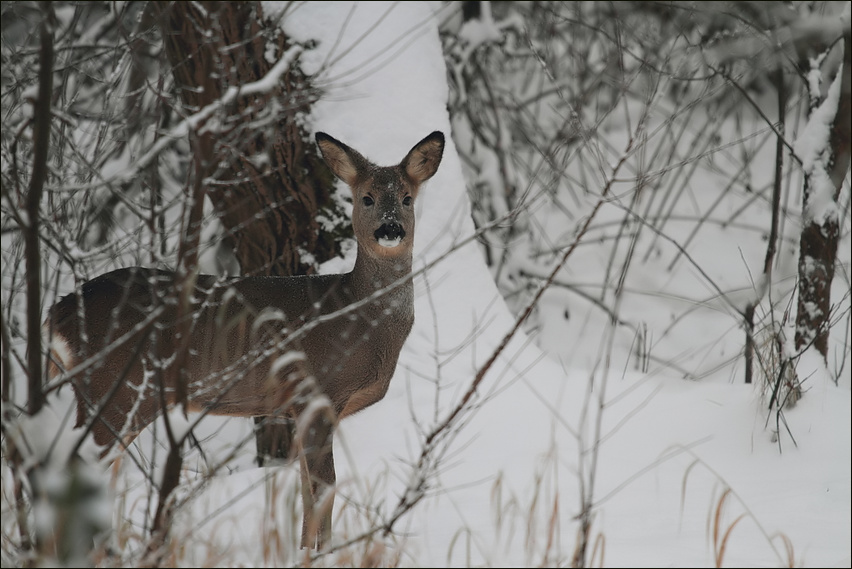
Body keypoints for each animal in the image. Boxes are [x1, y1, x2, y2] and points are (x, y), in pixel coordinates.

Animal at [45, 129, 446, 544]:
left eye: (407, 198)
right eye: (366, 197)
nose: (390, 229)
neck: (360, 315)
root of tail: (57, 312)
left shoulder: (300, 408)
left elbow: (304, 491)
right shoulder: (318, 392)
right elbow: (324, 489)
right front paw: (323, 552)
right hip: (115, 388)